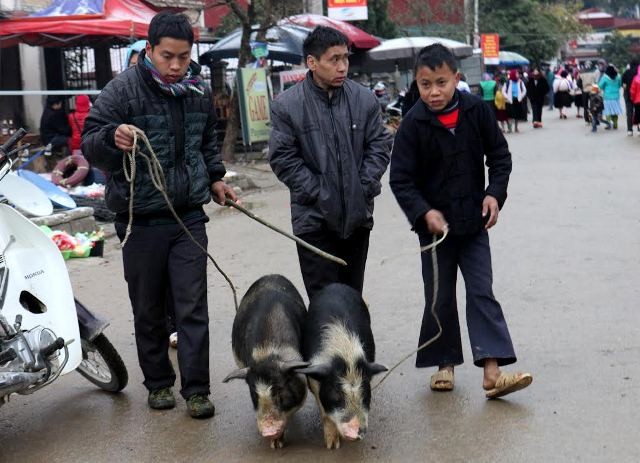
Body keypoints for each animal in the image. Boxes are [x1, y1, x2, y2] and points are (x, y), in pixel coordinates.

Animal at [221, 276, 308, 450]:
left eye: (279, 392)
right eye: (254, 395)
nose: (268, 431)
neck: (267, 354)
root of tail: (271, 275)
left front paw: (277, 445)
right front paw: (275, 445)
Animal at [298, 284, 388, 452]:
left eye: (366, 394)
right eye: (336, 395)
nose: (356, 433)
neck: (345, 355)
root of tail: (335, 285)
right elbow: (325, 413)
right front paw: (332, 446)